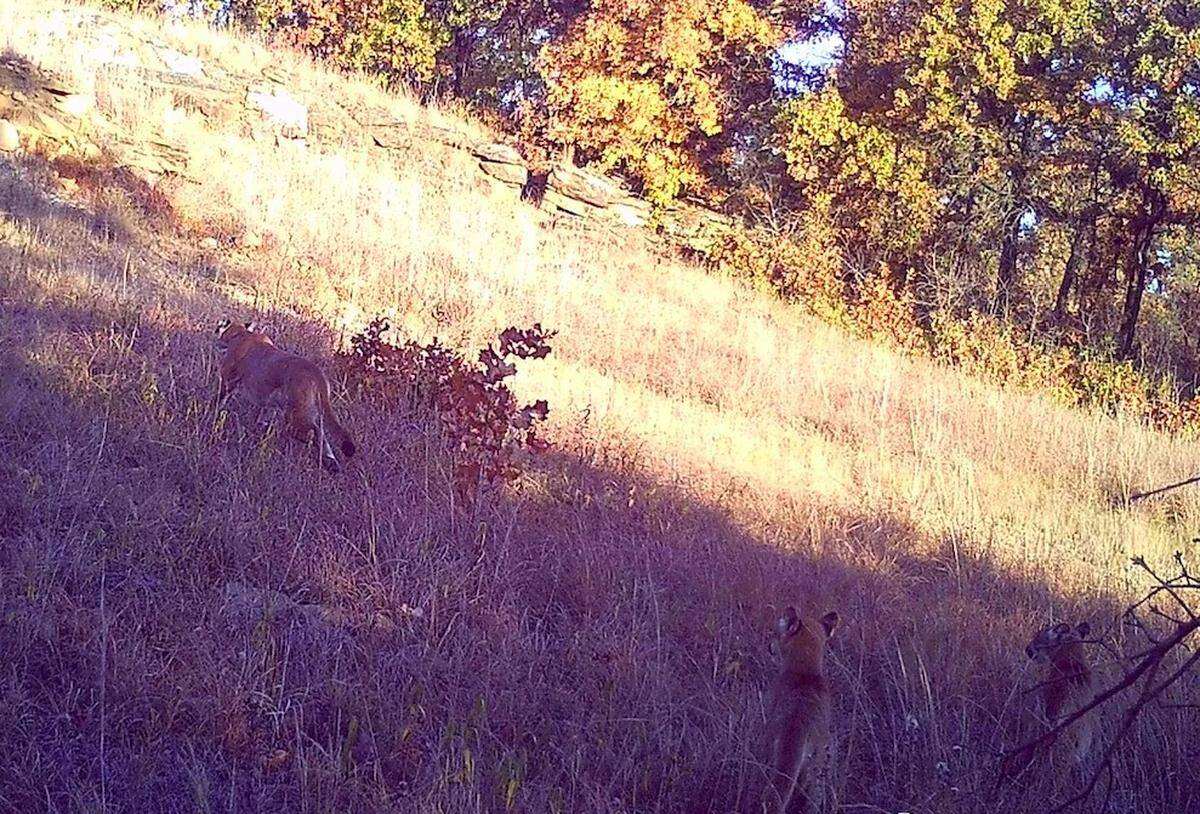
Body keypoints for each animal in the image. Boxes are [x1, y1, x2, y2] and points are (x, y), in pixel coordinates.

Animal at [215, 318, 356, 472]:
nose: (217, 340)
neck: (242, 333)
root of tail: (316, 371)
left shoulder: (227, 380)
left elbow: (220, 398)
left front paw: (214, 413)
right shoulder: (266, 399)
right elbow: (261, 413)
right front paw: (259, 426)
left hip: (294, 416)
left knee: (314, 432)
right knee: (321, 432)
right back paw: (331, 463)